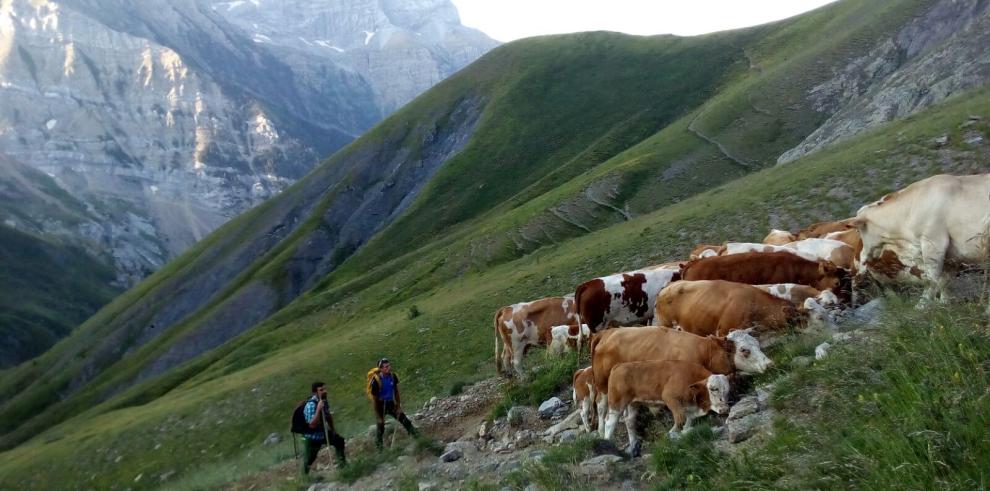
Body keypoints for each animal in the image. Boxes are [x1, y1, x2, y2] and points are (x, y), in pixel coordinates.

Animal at [588, 326, 776, 434]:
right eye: (744, 350)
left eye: (757, 344)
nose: (770, 364)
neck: (704, 352)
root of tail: (606, 333)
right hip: (604, 387)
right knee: (602, 410)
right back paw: (602, 433)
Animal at [600, 358, 732, 458]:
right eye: (713, 389)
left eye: (727, 390)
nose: (725, 409)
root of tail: (619, 365)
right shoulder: (670, 398)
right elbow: (679, 421)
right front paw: (670, 435)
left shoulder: (689, 408)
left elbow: (687, 423)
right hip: (617, 403)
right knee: (610, 422)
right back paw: (608, 444)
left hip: (634, 403)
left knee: (630, 421)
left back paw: (633, 447)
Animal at [844, 175, 990, 310]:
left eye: (858, 231)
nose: (861, 257)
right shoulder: (950, 256)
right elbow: (943, 281)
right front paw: (944, 303)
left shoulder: (933, 242)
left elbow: (931, 280)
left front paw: (922, 306)